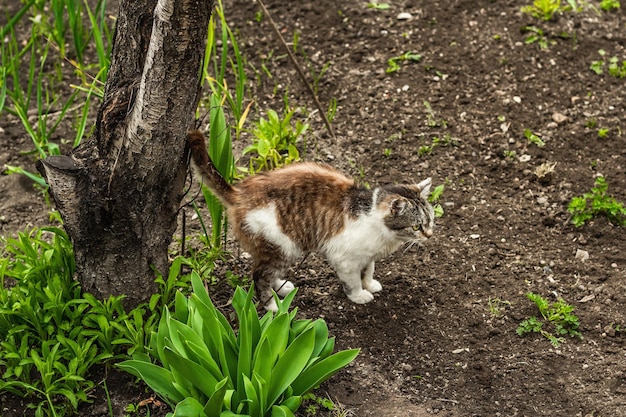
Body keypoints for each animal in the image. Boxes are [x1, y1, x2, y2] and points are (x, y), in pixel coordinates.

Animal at [186, 130, 434, 308]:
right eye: (416, 226)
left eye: (430, 221)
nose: (430, 235)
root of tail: (240, 193)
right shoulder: (344, 257)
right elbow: (353, 280)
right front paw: (359, 295)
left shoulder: (367, 254)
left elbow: (368, 269)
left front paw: (370, 284)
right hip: (283, 246)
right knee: (259, 274)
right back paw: (272, 306)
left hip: (283, 249)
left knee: (267, 270)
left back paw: (282, 287)